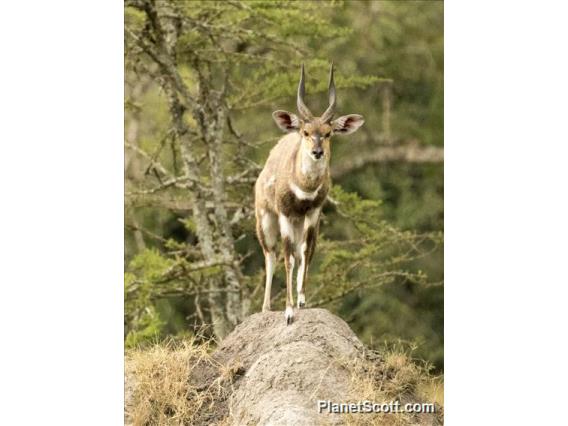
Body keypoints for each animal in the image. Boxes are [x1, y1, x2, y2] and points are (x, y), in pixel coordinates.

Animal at [256, 62, 366, 322]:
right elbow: (286, 257)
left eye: (328, 133)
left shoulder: (313, 213)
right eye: (306, 132)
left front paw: (302, 301)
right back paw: (266, 307)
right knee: (271, 255)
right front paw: (288, 312)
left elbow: (306, 251)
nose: (317, 152)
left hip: (299, 223)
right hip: (265, 221)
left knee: (298, 253)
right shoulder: (286, 214)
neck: (304, 187)